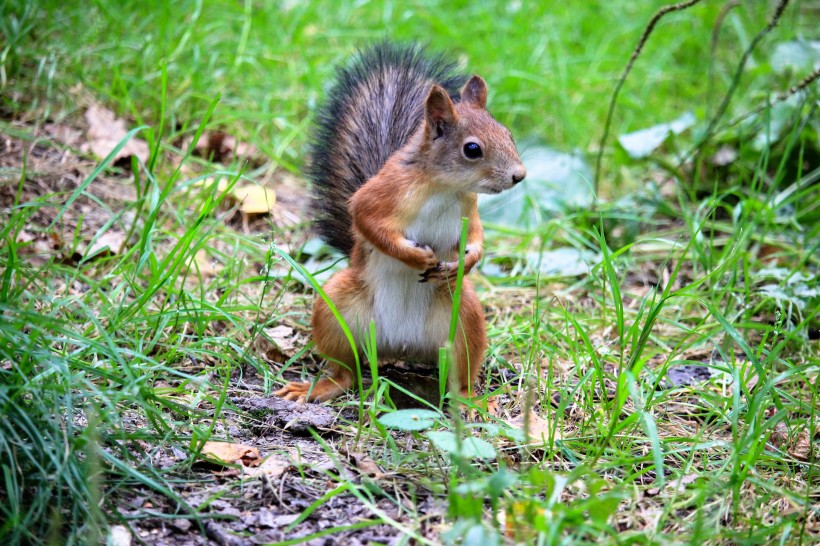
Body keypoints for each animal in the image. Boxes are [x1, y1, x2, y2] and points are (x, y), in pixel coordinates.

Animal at [278, 41, 524, 400]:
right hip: (335, 311)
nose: (519, 175)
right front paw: (415, 256)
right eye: (472, 149)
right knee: (347, 369)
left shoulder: (469, 210)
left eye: (508, 134)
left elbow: (477, 236)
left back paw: (470, 400)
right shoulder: (381, 194)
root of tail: (399, 346)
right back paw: (321, 387)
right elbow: (367, 221)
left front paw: (466, 261)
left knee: (460, 375)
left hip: (465, 318)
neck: (444, 187)